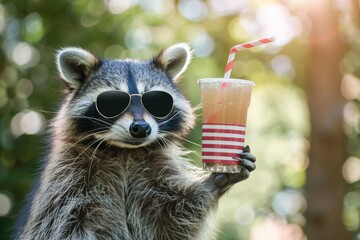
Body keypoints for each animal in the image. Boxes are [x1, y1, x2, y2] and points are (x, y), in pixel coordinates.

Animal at [14, 43, 256, 240]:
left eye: (157, 100)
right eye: (111, 101)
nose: (141, 128)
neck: (124, 152)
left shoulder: (155, 172)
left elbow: (174, 216)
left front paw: (216, 181)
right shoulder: (66, 180)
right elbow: (61, 225)